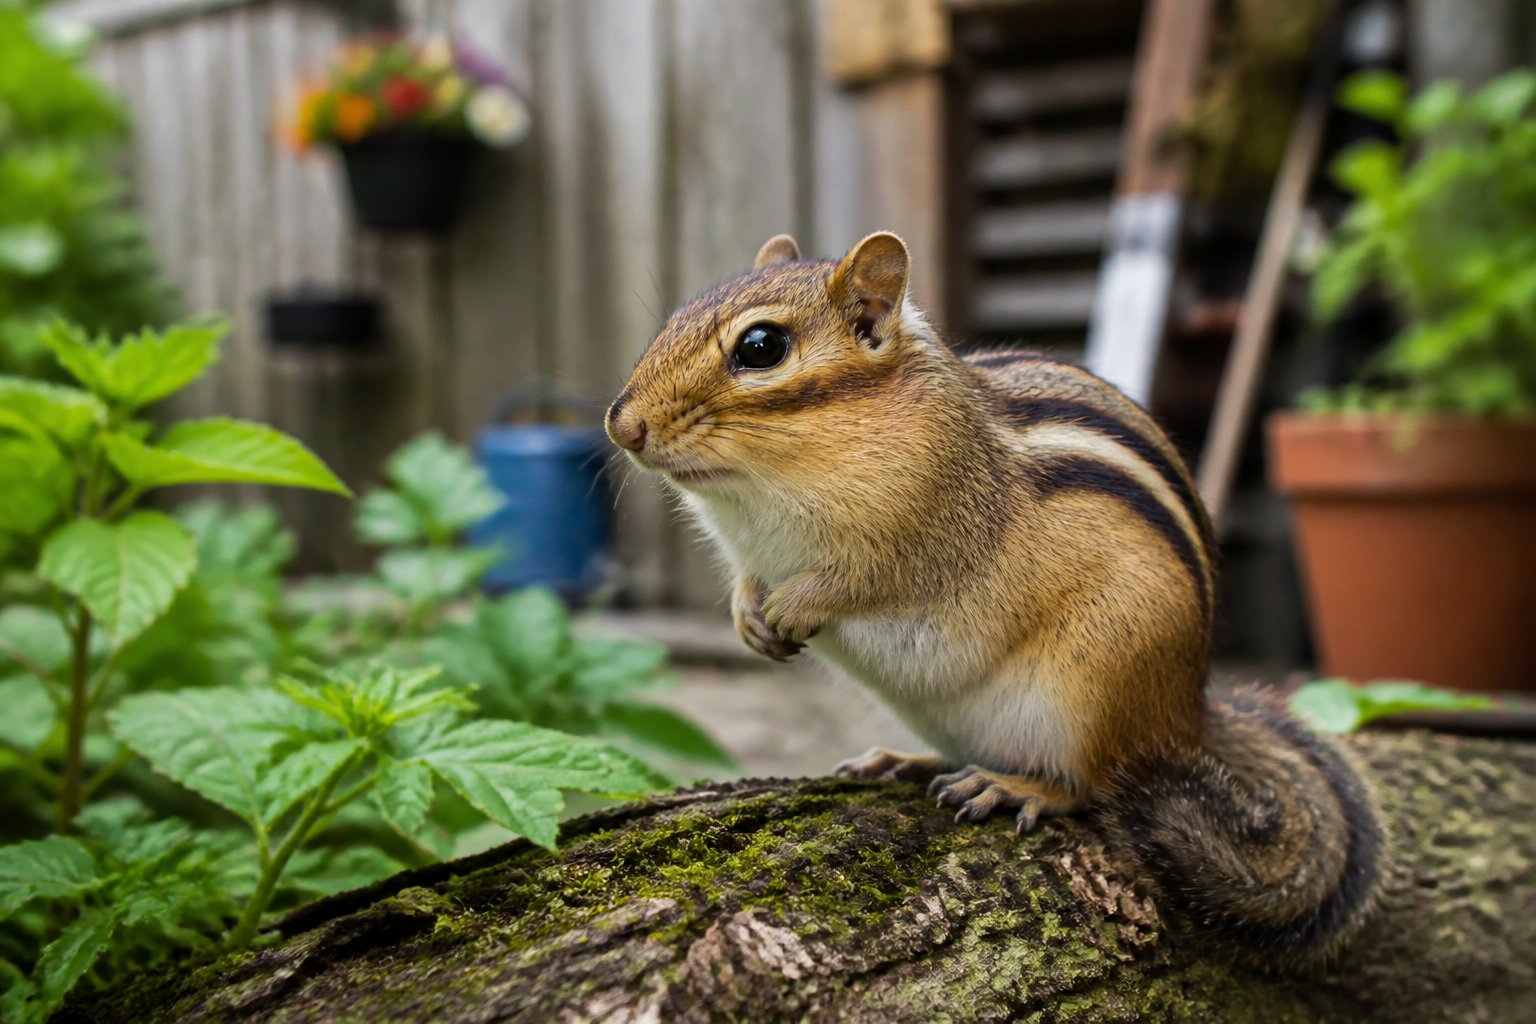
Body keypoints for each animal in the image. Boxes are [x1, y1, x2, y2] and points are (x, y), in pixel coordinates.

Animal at [605, 231, 1385, 963]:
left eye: (761, 347)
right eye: (673, 318)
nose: (621, 424)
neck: (759, 491)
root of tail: (1186, 720)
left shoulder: (926, 537)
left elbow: (856, 582)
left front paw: (792, 608)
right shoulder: (749, 552)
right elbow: (746, 581)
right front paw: (749, 617)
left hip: (1093, 693)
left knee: (1095, 787)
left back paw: (1018, 787)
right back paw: (908, 761)